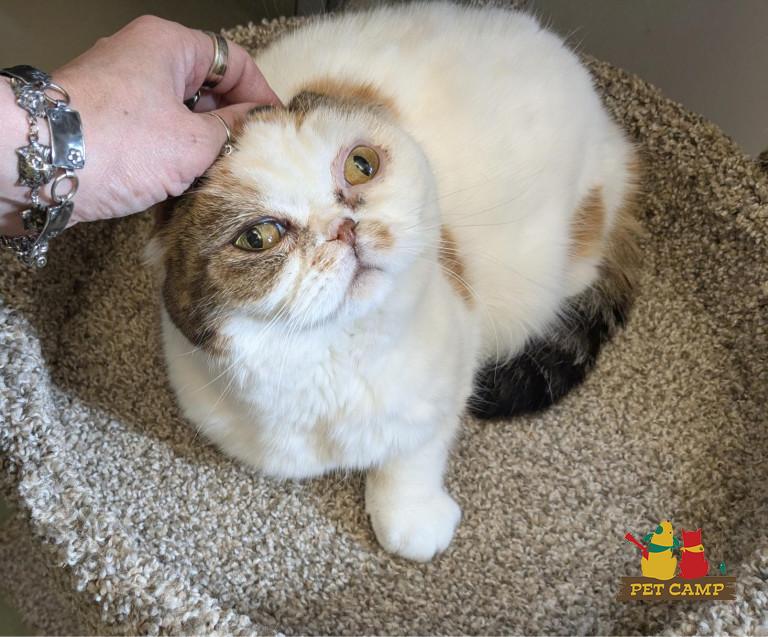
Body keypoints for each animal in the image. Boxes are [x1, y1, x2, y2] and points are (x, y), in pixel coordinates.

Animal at [147, 2, 640, 561]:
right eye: (258, 237)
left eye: (362, 165)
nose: (343, 227)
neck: (338, 362)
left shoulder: (450, 371)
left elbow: (415, 449)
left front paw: (409, 515)